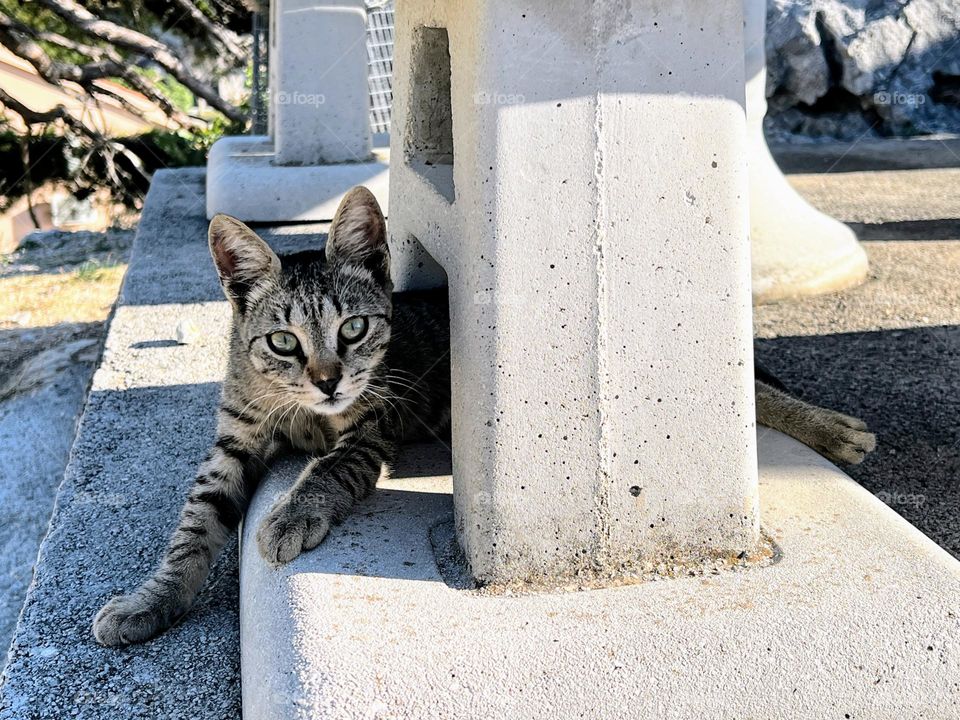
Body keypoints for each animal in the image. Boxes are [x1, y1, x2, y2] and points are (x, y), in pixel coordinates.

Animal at [92, 186, 876, 648]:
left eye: (353, 330)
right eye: (283, 341)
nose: (328, 381)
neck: (300, 409)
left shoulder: (373, 423)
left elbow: (332, 466)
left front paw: (293, 511)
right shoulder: (231, 440)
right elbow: (191, 528)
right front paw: (149, 600)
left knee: (758, 391)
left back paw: (835, 428)